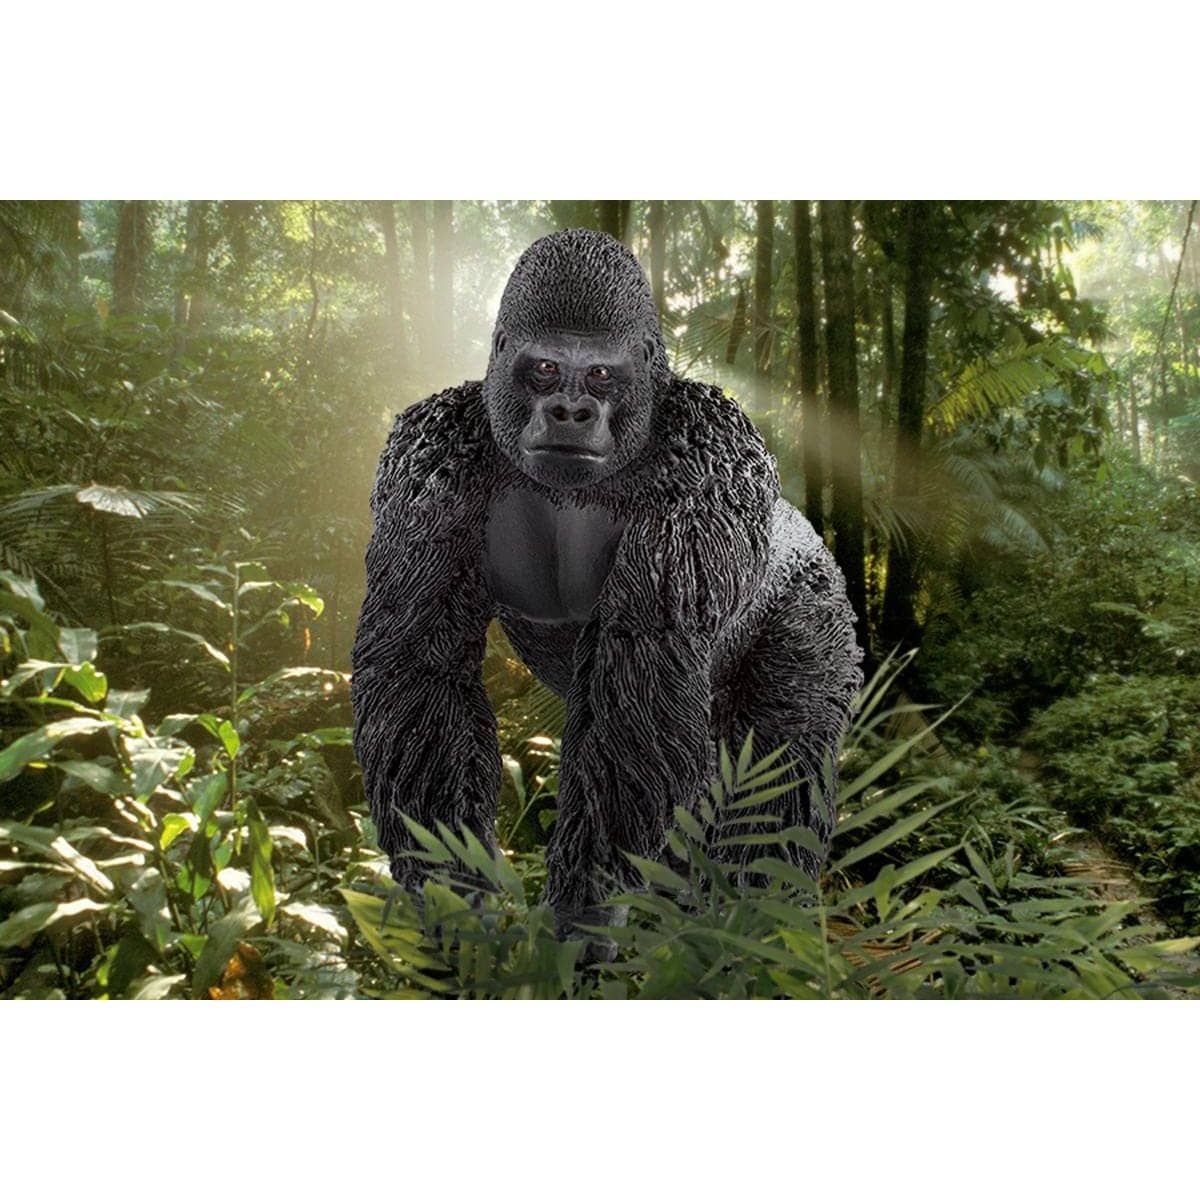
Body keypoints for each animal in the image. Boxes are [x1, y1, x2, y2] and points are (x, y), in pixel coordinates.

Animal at [351, 228, 864, 958]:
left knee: (777, 776)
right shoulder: (425, 455)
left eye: (599, 375)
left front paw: (581, 911)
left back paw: (749, 935)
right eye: (543, 369)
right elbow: (419, 666)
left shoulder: (709, 454)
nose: (571, 411)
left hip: (815, 601)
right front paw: (456, 892)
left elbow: (643, 674)